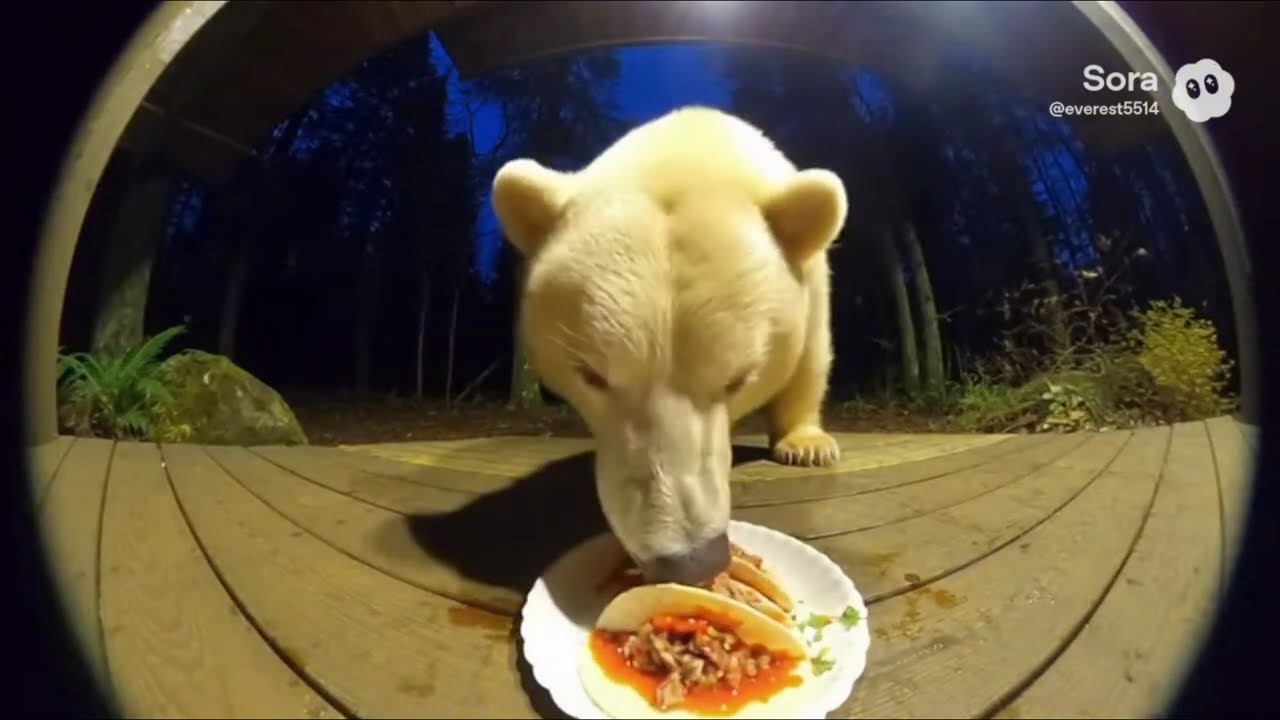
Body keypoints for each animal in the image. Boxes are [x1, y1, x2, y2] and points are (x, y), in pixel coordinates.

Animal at [490, 106, 847, 585]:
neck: (692, 145)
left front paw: (807, 445)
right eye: (592, 375)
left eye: (738, 379)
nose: (688, 560)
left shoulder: (812, 279)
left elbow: (809, 357)